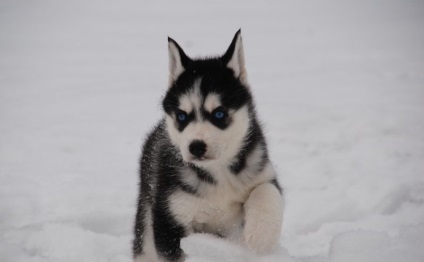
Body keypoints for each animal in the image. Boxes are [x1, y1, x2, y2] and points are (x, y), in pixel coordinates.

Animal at [134, 29, 284, 260]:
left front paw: (261, 236)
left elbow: (266, 190)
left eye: (219, 114)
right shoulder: (168, 216)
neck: (217, 172)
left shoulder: (261, 172)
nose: (196, 147)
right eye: (182, 116)